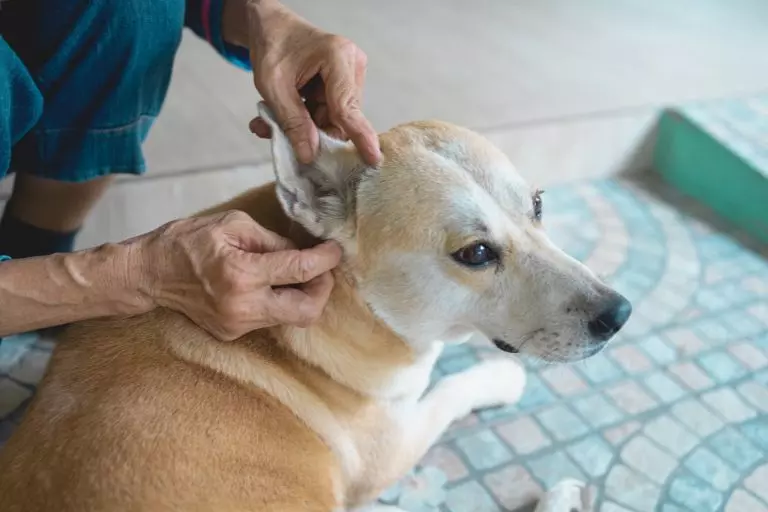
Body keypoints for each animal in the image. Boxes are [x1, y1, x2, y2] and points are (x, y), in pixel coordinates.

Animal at [0, 105, 632, 512]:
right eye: (475, 253)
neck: (360, 307)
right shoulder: (391, 447)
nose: (619, 314)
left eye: (539, 205)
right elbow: (452, 389)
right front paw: (501, 376)